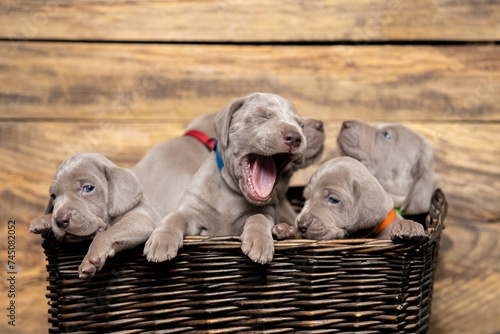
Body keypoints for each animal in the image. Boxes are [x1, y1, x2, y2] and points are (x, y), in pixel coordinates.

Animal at [29, 153, 158, 280]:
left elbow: (103, 235)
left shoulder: (141, 219)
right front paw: (43, 221)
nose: (60, 220)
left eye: (89, 188)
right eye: (53, 196)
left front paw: (91, 258)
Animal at [143, 92, 306, 264]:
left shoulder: (268, 212)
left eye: (300, 124)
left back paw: (287, 231)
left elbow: (259, 216)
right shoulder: (192, 210)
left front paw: (259, 241)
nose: (295, 137)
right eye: (263, 116)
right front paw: (162, 240)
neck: (232, 192)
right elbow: (175, 216)